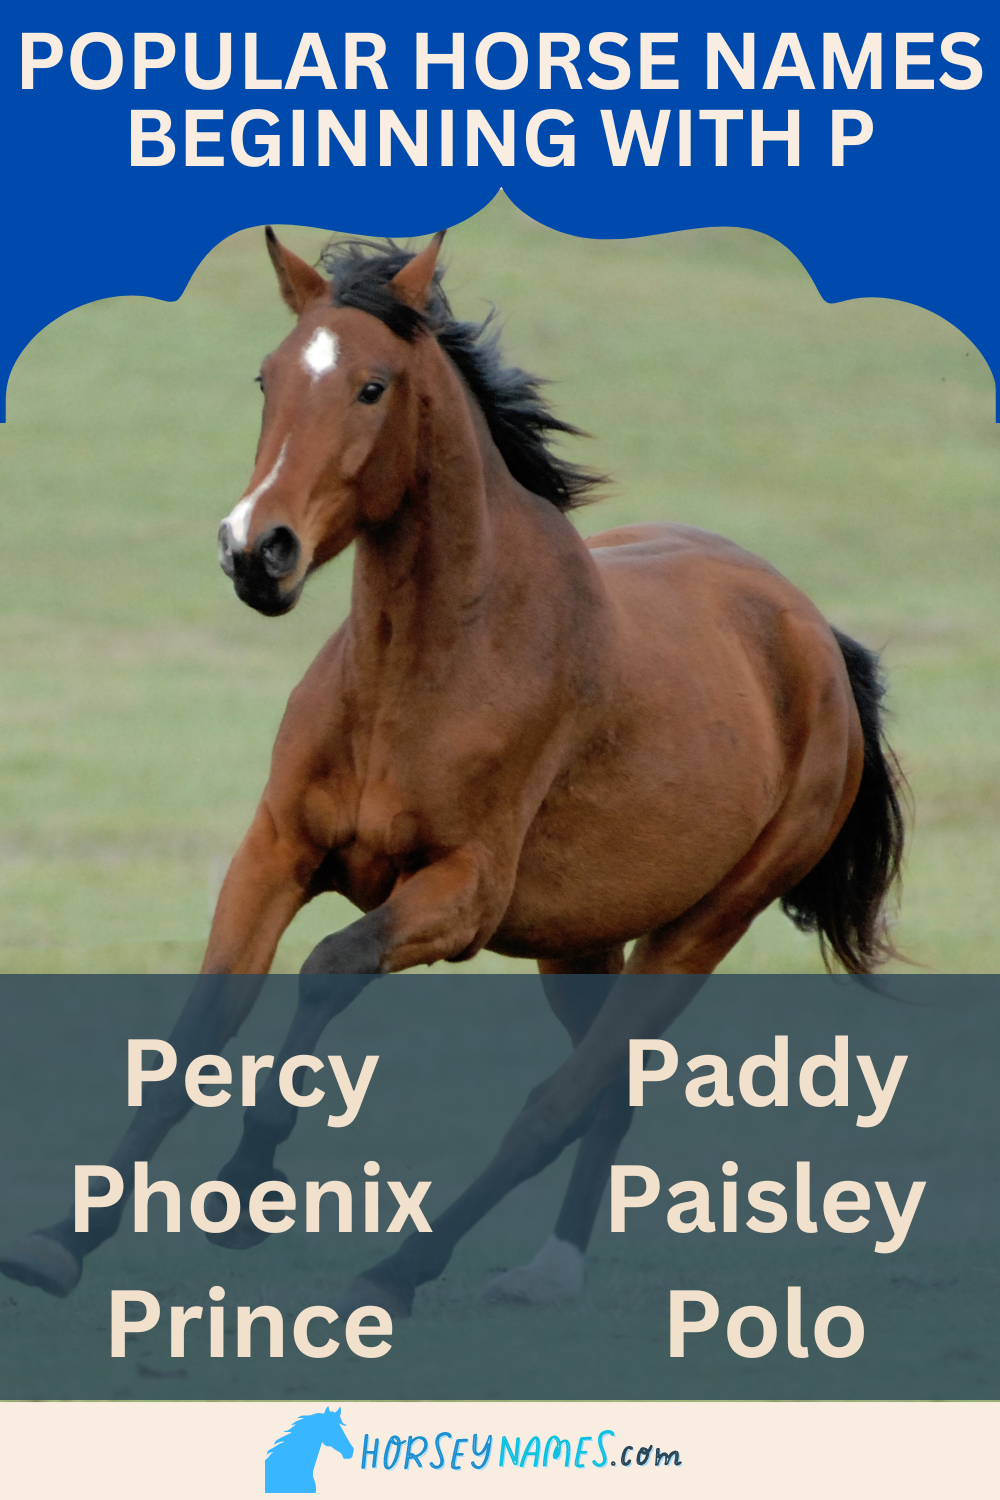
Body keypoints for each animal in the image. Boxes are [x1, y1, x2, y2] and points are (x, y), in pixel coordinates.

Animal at [0, 229, 904, 1314]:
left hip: (698, 932)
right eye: (266, 377)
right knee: (605, 1098)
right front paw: (62, 1241)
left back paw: (398, 1269)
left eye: (372, 387)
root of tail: (817, 639)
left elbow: (326, 971)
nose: (255, 553)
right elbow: (199, 1032)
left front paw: (248, 1185)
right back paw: (547, 1267)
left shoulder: (459, 896)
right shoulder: (274, 853)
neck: (419, 671)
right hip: (580, 944)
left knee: (559, 1103)